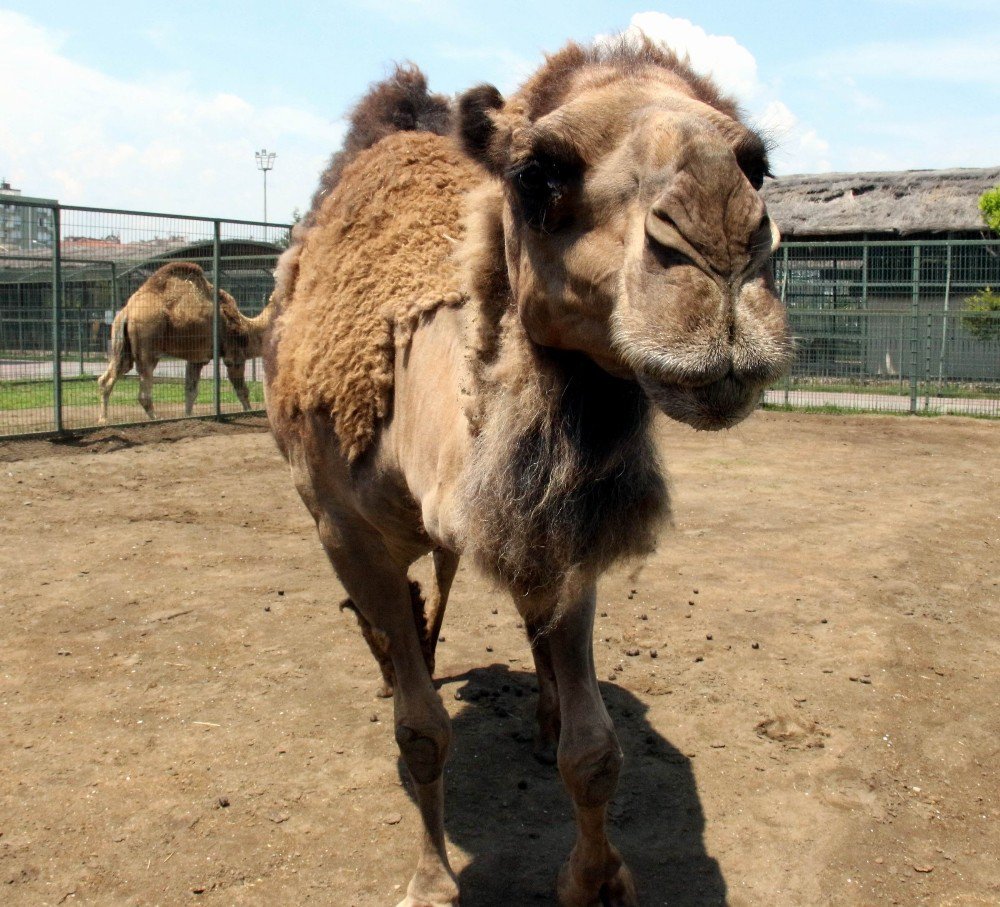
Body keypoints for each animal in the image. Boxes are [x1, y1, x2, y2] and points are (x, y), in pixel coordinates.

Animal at [96, 258, 274, 422]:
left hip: (122, 345)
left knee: (108, 377)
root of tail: (127, 311)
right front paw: (249, 412)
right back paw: (155, 418)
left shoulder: (197, 358)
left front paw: (188, 416)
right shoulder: (234, 356)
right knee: (144, 390)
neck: (247, 327)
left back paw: (103, 420)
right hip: (148, 342)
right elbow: (242, 390)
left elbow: (191, 391)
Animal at [264, 37, 788, 907]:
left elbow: (595, 747)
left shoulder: (557, 527)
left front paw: (596, 880)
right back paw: (399, 664)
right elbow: (420, 733)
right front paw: (431, 879)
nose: (722, 246)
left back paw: (532, 712)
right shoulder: (344, 529)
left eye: (759, 163)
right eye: (536, 171)